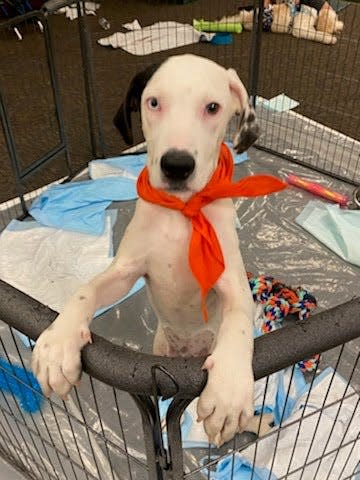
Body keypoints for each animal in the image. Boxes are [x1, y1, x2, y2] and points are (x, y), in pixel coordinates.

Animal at [32, 55, 260, 446]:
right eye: (153, 102)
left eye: (213, 107)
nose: (177, 165)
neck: (181, 212)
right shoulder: (127, 270)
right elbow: (85, 290)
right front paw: (58, 343)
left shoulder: (231, 281)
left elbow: (240, 320)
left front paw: (229, 390)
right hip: (160, 346)